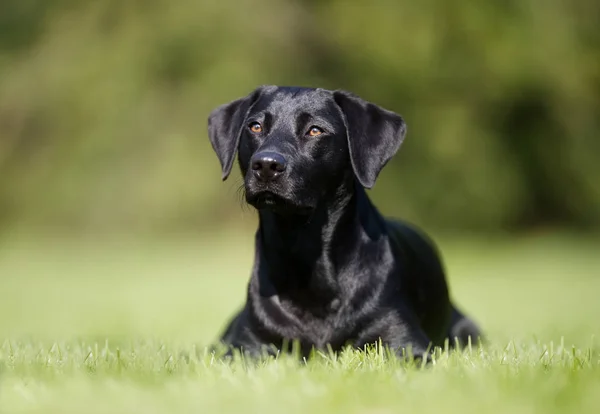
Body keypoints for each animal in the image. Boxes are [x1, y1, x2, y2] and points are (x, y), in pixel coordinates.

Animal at [209, 86, 480, 360]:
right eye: (255, 126)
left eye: (315, 130)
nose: (266, 165)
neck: (304, 253)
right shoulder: (245, 345)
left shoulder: (404, 341)